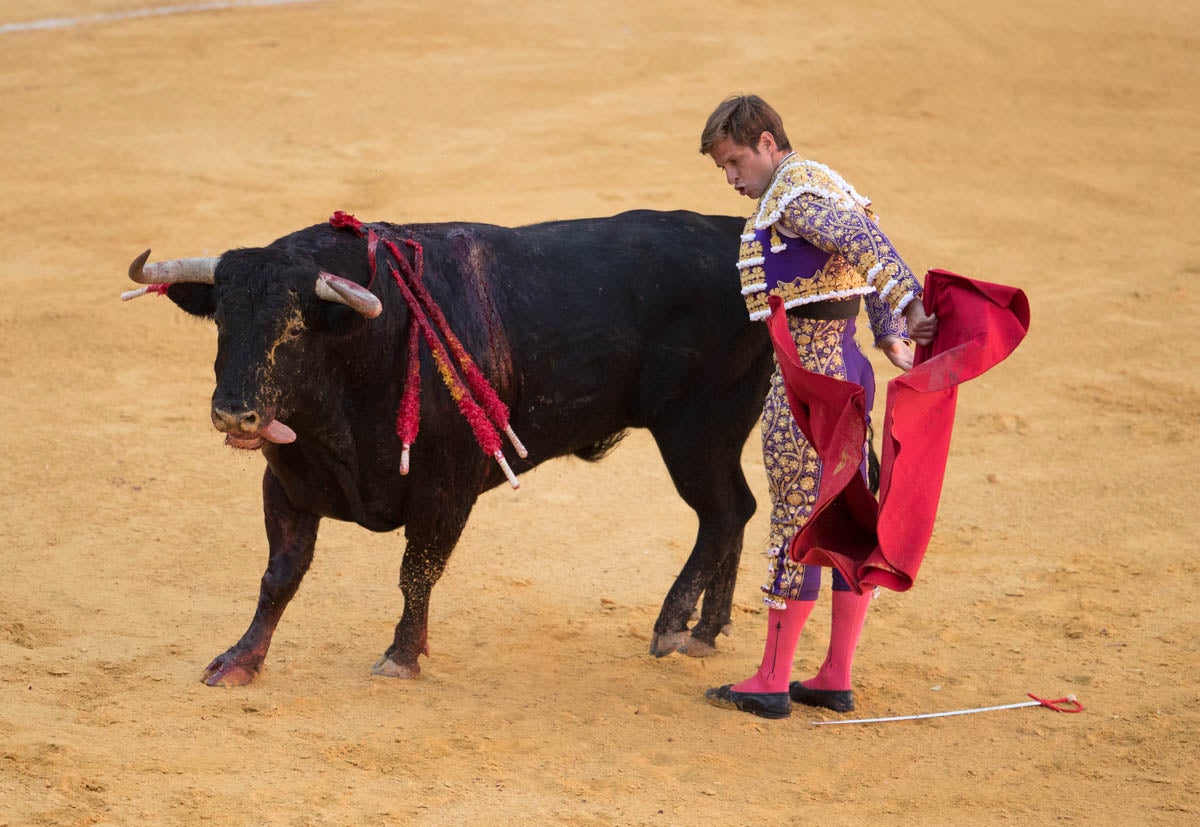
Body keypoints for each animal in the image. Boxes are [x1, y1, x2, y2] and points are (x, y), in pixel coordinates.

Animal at [126, 210, 772, 686]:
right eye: (222, 322)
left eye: (295, 328)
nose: (235, 412)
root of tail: (736, 235)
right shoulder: (286, 484)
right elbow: (279, 575)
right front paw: (239, 661)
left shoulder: (447, 489)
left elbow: (417, 571)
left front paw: (401, 657)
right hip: (716, 435)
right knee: (737, 509)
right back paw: (707, 631)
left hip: (695, 429)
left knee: (721, 513)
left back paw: (671, 626)